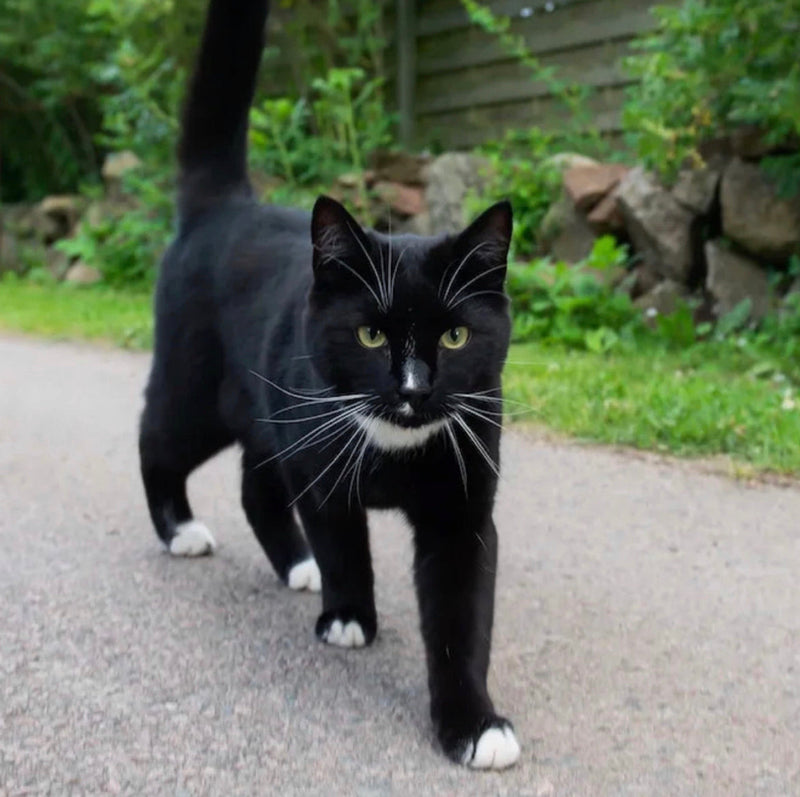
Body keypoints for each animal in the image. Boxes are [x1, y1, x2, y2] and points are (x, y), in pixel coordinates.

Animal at [139, 0, 520, 768]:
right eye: (371, 335)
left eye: (456, 337)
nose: (414, 389)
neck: (394, 446)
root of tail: (225, 204)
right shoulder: (319, 465)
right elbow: (345, 541)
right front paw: (348, 615)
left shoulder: (462, 506)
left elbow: (461, 618)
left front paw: (474, 722)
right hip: (199, 391)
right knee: (155, 437)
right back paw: (182, 529)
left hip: (268, 416)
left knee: (255, 488)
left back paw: (296, 564)